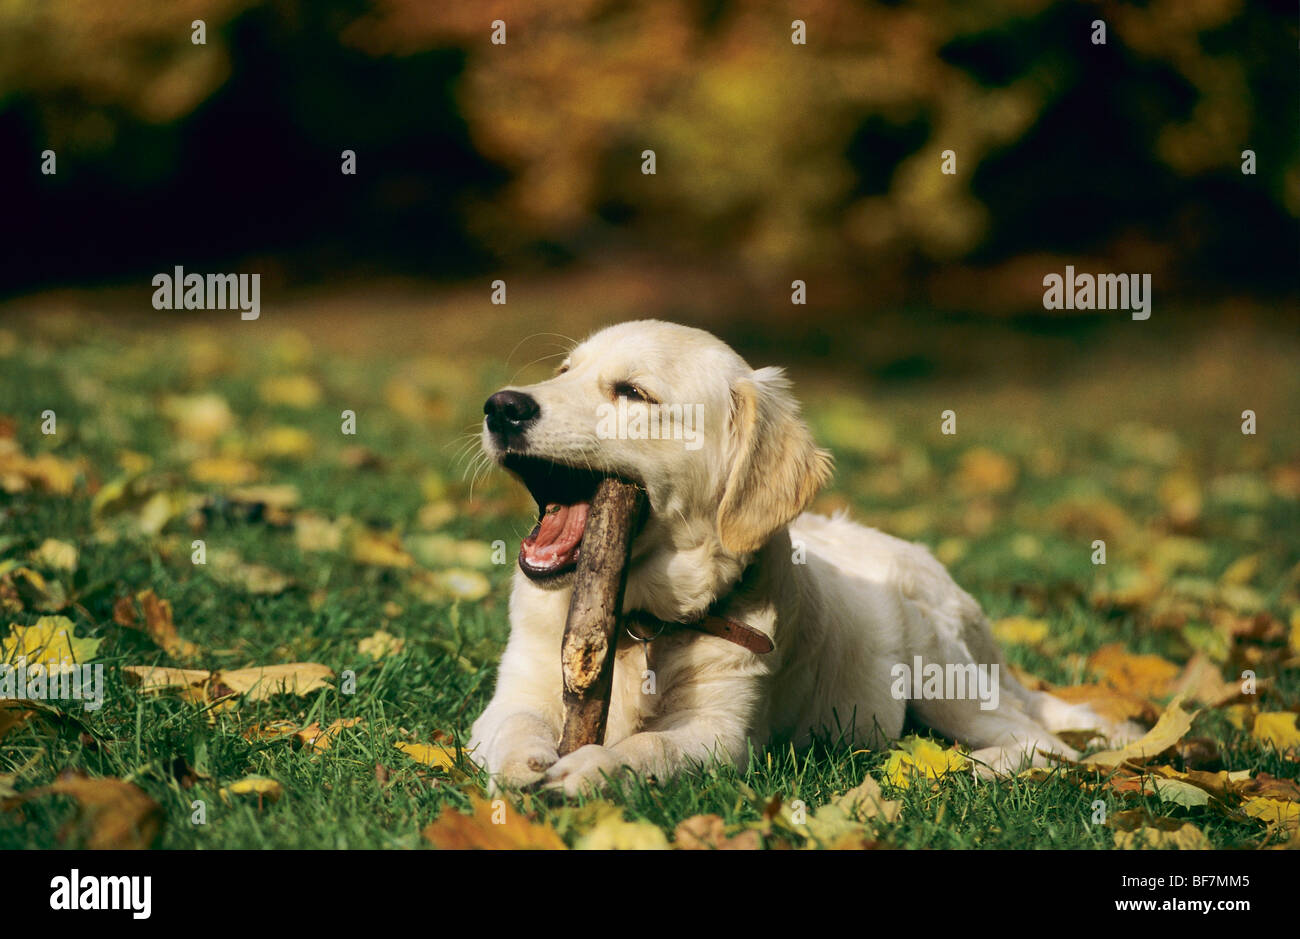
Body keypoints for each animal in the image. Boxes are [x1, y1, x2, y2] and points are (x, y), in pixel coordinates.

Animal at [467, 319, 1138, 790]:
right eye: (563, 369)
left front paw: (595, 769)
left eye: (632, 392)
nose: (500, 406)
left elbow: (651, 747)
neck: (640, 622)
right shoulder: (516, 692)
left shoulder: (723, 732)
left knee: (1046, 746)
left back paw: (961, 769)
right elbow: (514, 728)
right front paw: (527, 765)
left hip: (940, 667)